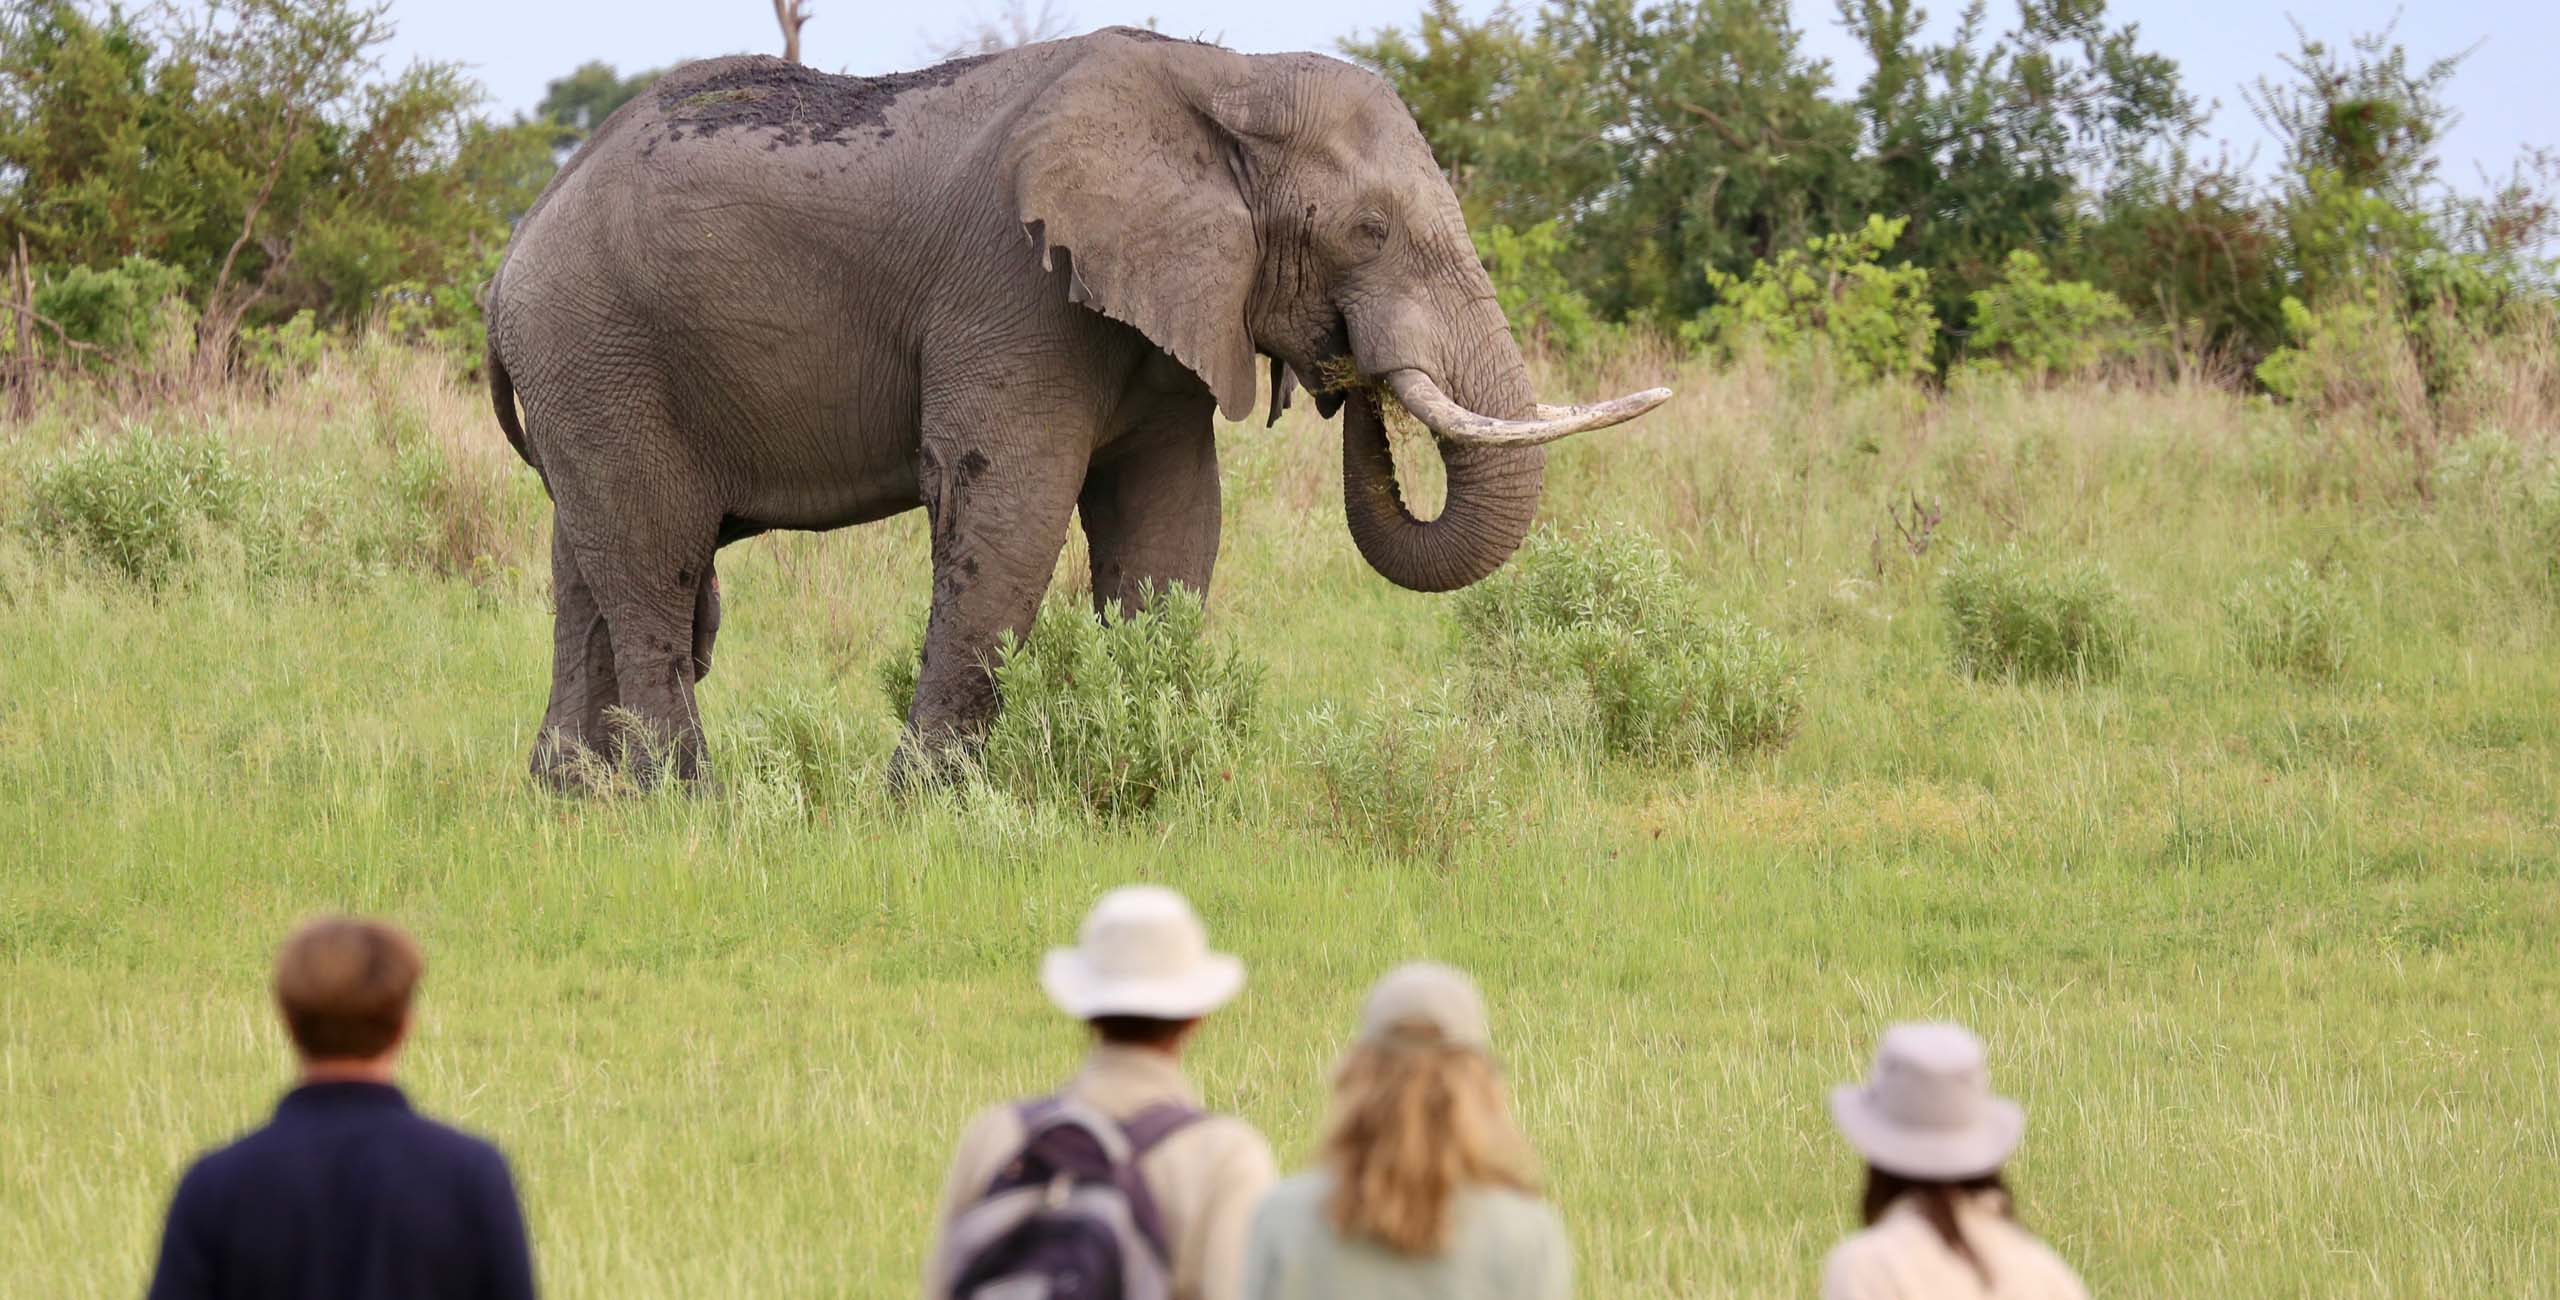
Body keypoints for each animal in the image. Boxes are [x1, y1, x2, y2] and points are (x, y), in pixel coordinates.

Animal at [485, 27, 1670, 787]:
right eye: (1368, 232)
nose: (1346, 374)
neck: (1227, 79)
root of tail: (514, 247)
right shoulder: (1013, 289)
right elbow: (1008, 512)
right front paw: (934, 808)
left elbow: (1171, 522)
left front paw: (1159, 769)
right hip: (599, 347)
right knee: (656, 563)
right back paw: (683, 803)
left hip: (586, 369)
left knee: (584, 564)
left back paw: (569, 796)